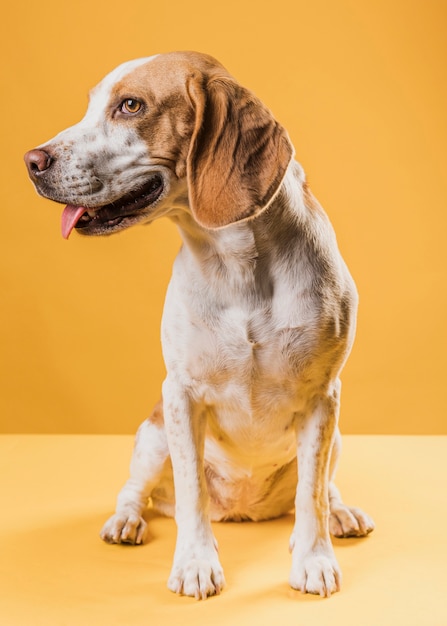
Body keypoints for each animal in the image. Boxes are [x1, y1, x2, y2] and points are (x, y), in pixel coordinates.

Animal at [24, 51, 374, 596]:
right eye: (92, 104)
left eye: (131, 105)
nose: (32, 161)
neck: (237, 265)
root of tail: (243, 510)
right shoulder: (181, 396)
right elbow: (192, 494)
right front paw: (194, 562)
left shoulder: (322, 397)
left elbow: (311, 494)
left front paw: (314, 557)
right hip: (152, 434)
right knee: (136, 491)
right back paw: (126, 520)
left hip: (335, 435)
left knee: (322, 488)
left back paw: (338, 514)